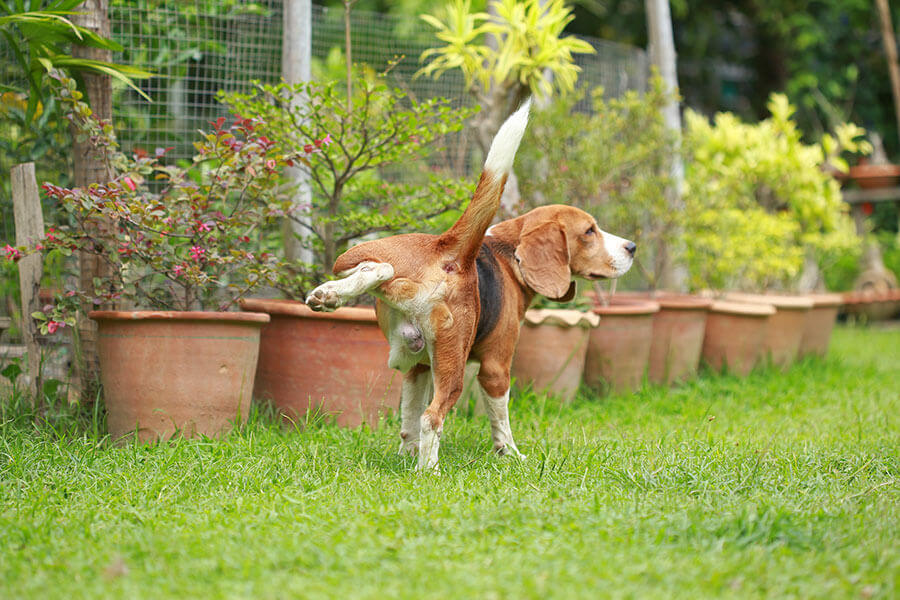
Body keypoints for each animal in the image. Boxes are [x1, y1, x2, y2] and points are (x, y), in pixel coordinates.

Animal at [306, 101, 636, 472]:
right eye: (590, 231)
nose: (632, 247)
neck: (508, 255)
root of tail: (450, 250)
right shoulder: (496, 367)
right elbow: (500, 420)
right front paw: (510, 454)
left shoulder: (419, 367)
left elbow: (407, 421)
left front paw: (407, 454)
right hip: (455, 364)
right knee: (432, 417)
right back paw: (429, 470)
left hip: (365, 259)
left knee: (376, 269)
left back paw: (332, 293)